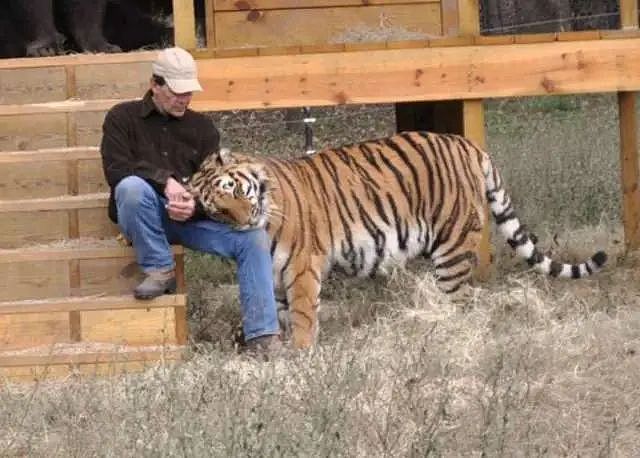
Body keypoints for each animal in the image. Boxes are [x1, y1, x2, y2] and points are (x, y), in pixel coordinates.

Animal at [187, 131, 607, 349]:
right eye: (218, 211)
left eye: (234, 190)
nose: (246, 220)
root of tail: (470, 145)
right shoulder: (274, 276)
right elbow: (268, 312)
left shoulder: (302, 267)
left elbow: (304, 316)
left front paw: (301, 353)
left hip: (452, 249)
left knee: (465, 302)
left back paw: (452, 337)